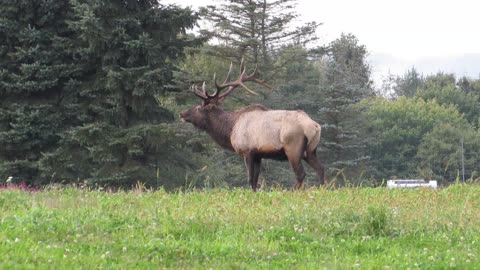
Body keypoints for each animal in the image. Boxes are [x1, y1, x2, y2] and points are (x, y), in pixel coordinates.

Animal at [180, 61, 326, 192]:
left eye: (198, 108)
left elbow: (250, 179)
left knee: (301, 174)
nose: (182, 113)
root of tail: (315, 126)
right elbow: (256, 180)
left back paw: (293, 191)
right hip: (310, 150)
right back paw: (322, 189)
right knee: (321, 168)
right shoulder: (258, 155)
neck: (231, 128)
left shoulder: (248, 151)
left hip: (293, 148)